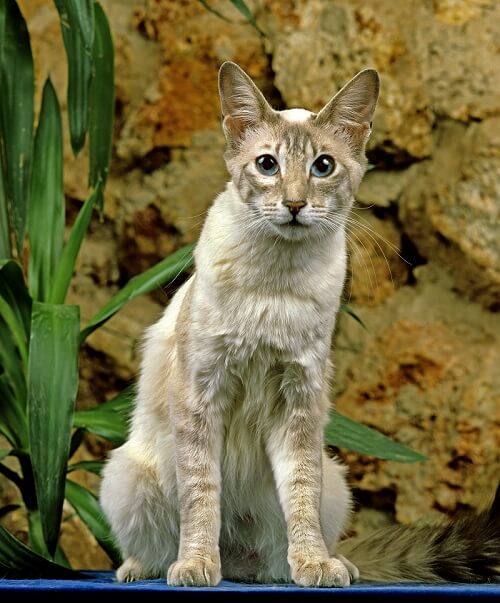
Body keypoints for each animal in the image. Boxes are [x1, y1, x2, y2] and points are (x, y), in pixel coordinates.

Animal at [98, 63, 500, 588]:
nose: (293, 204)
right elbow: (202, 496)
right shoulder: (202, 392)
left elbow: (301, 493)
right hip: (126, 476)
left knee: (279, 554)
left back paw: (330, 565)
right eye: (267, 165)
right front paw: (197, 566)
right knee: (158, 544)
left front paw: (314, 566)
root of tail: (241, 562)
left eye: (322, 167)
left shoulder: (299, 398)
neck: (277, 280)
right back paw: (151, 568)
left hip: (337, 484)